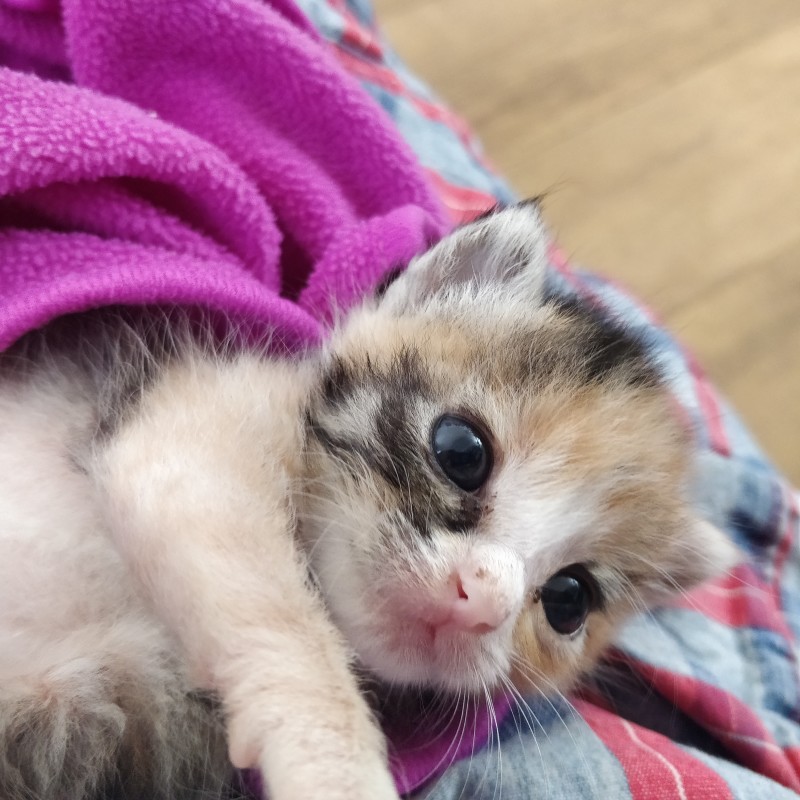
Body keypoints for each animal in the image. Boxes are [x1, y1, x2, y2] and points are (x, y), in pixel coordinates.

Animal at [0, 202, 738, 800]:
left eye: (568, 599)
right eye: (461, 450)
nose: (485, 598)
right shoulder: (187, 436)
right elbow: (291, 632)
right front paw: (339, 771)